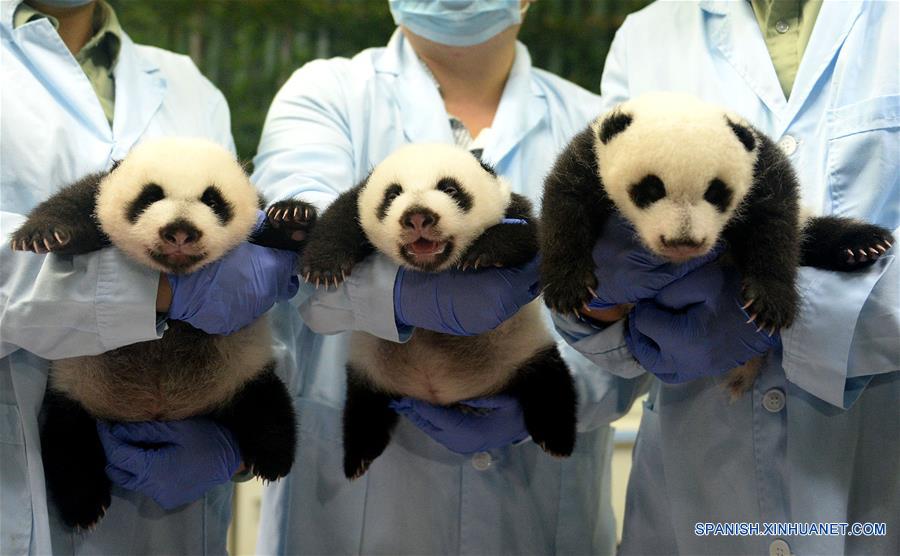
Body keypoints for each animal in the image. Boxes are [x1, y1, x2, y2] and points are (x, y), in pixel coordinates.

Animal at [9, 137, 316, 529]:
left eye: (212, 200)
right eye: (150, 196)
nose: (181, 231)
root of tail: (159, 411)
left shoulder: (256, 212)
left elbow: (277, 229)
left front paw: (293, 219)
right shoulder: (100, 194)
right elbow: (77, 200)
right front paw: (43, 233)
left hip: (239, 374)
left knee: (268, 406)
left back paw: (272, 458)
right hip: (76, 388)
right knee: (67, 440)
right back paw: (84, 504)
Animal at [300, 143, 578, 479]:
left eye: (450, 189)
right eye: (393, 194)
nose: (418, 217)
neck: (433, 269)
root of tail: (442, 396)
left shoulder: (513, 208)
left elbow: (531, 234)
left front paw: (484, 253)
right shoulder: (359, 200)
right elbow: (343, 214)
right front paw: (323, 264)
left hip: (522, 350)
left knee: (550, 385)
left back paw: (556, 440)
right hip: (369, 367)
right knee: (363, 407)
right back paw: (358, 456)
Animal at [540, 92, 894, 397]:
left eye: (716, 192)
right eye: (650, 189)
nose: (683, 241)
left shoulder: (760, 167)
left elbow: (776, 224)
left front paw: (770, 303)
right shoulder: (590, 158)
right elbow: (565, 205)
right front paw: (568, 288)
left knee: (809, 234)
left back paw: (862, 244)